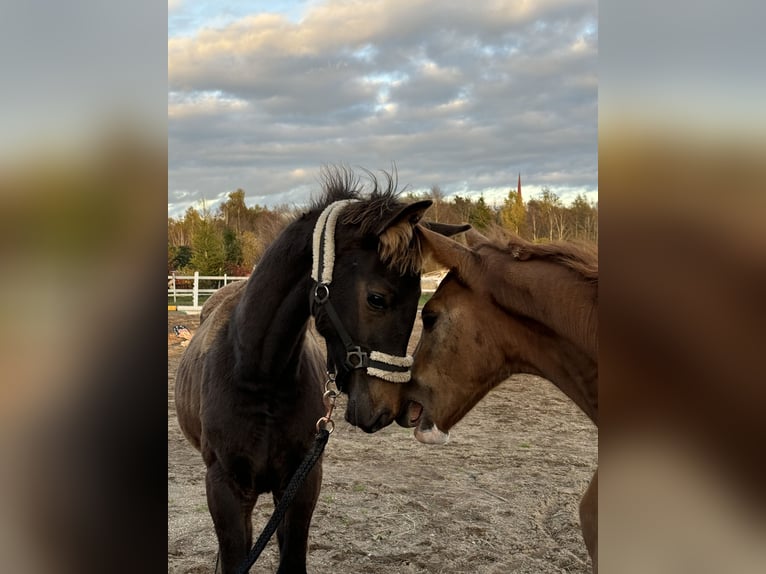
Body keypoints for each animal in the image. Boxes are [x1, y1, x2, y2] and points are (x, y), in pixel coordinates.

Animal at [177, 168, 472, 574]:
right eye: (376, 298)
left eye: (420, 302)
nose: (386, 409)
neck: (259, 376)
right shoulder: (225, 489)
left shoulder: (302, 485)